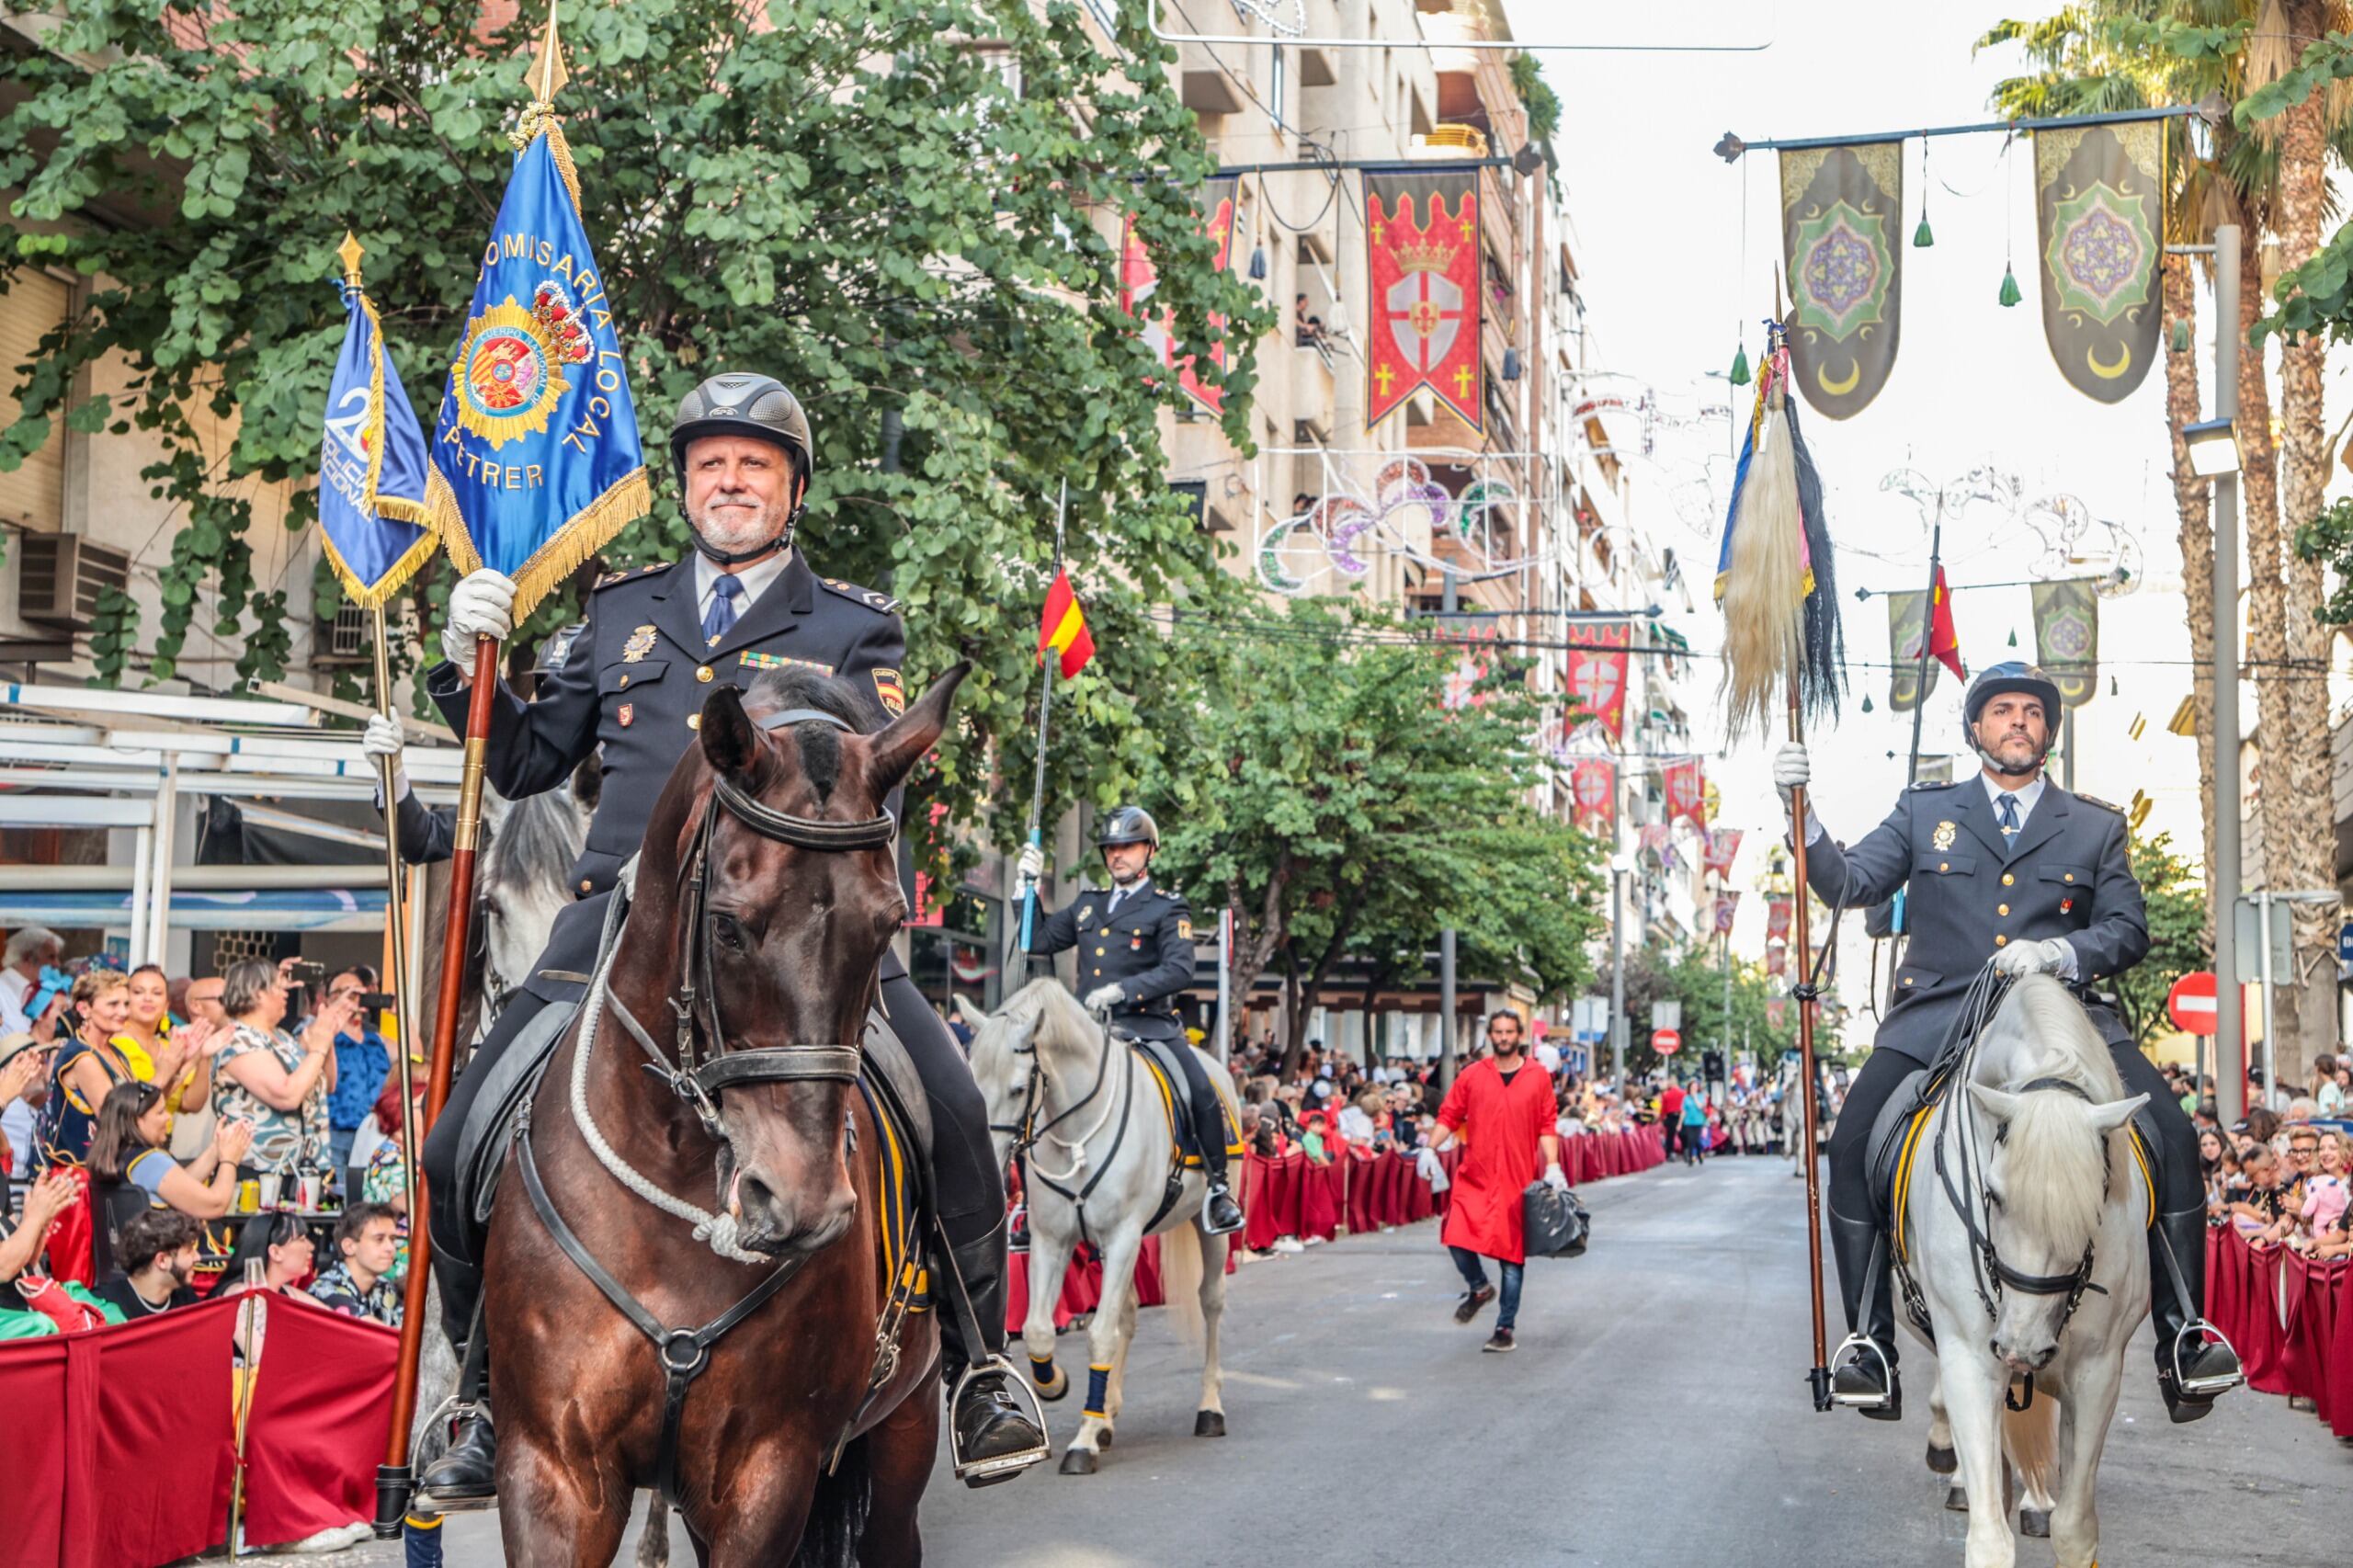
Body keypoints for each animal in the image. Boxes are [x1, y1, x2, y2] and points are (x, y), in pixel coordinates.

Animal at [482, 664, 969, 1562]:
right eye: (729, 927)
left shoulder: (766, 1473)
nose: (803, 1204)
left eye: (889, 925)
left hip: (905, 1428)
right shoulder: (550, 1469)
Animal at [960, 983, 1242, 1469]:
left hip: (1203, 1231)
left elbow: (1100, 1335)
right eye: (971, 1079)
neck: (1078, 1131)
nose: (990, 1167)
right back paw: (1107, 1410)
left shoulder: (1124, 1235)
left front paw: (1085, 1439)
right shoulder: (1053, 1240)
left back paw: (1209, 1408)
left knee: (1210, 1301)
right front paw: (1056, 1384)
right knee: (1127, 1313)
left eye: (1019, 1088)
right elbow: (1039, 1330)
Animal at [1892, 979, 2154, 1562]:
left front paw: (2048, 1509)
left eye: (2094, 1208)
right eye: (1992, 1194)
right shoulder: (1971, 1358)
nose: (2021, 1347)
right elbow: (1990, 1539)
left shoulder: (2097, 1370)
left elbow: (2075, 1529)